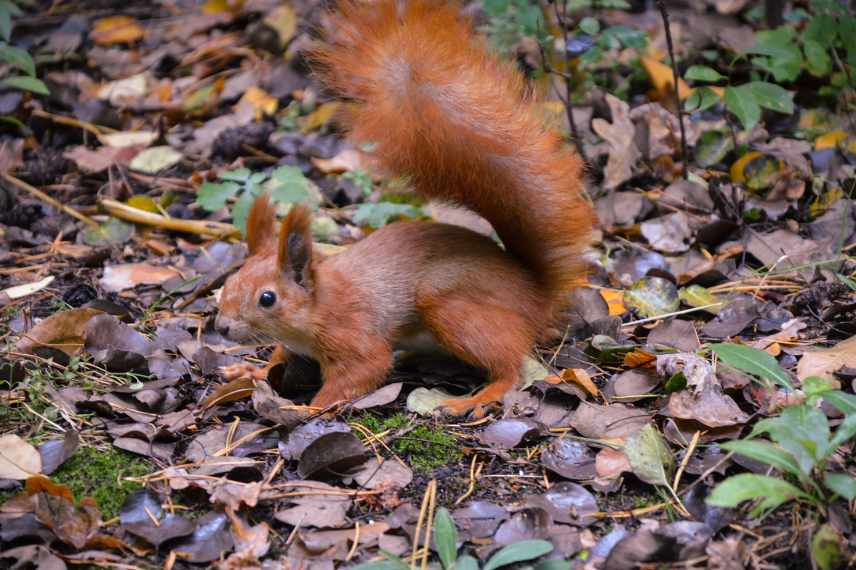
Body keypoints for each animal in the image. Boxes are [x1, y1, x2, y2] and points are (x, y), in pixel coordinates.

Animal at [214, 1, 592, 418]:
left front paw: (306, 409)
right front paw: (248, 370)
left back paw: (475, 398)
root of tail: (535, 292)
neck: (319, 303)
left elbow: (362, 370)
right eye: (231, 280)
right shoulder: (295, 348)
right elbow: (278, 359)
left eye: (267, 299)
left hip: (451, 308)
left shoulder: (353, 334)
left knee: (511, 366)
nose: (222, 327)